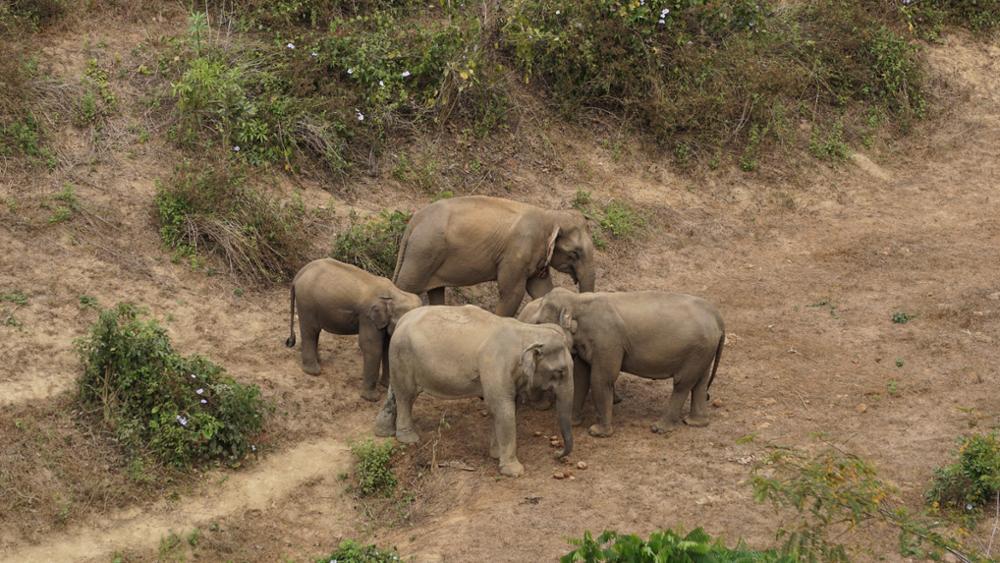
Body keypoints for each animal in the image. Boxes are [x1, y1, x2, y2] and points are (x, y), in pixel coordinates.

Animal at [286, 258, 422, 404]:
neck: (396, 293)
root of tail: (299, 273)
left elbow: (387, 347)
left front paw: (387, 386)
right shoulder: (368, 318)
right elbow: (372, 347)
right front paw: (372, 399)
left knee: (314, 332)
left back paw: (319, 361)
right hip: (306, 303)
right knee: (310, 331)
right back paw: (314, 372)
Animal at [374, 306, 580, 478]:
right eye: (560, 372)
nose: (557, 453)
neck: (526, 332)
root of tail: (403, 319)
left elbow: (505, 409)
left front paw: (496, 455)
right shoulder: (495, 366)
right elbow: (502, 409)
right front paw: (514, 471)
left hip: (398, 357)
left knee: (396, 392)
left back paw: (384, 432)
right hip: (403, 355)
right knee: (406, 396)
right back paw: (409, 439)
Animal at [390, 195, 592, 318]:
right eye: (575, 253)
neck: (549, 216)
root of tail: (413, 222)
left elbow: (541, 290)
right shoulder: (516, 254)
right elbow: (512, 293)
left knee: (436, 291)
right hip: (423, 252)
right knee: (405, 287)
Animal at [520, 288, 724, 438]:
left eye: (538, 323)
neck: (577, 300)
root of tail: (717, 316)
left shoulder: (608, 340)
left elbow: (601, 379)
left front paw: (598, 432)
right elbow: (581, 377)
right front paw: (573, 422)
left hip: (697, 350)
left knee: (682, 383)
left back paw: (660, 428)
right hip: (703, 351)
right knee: (700, 382)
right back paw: (695, 422)